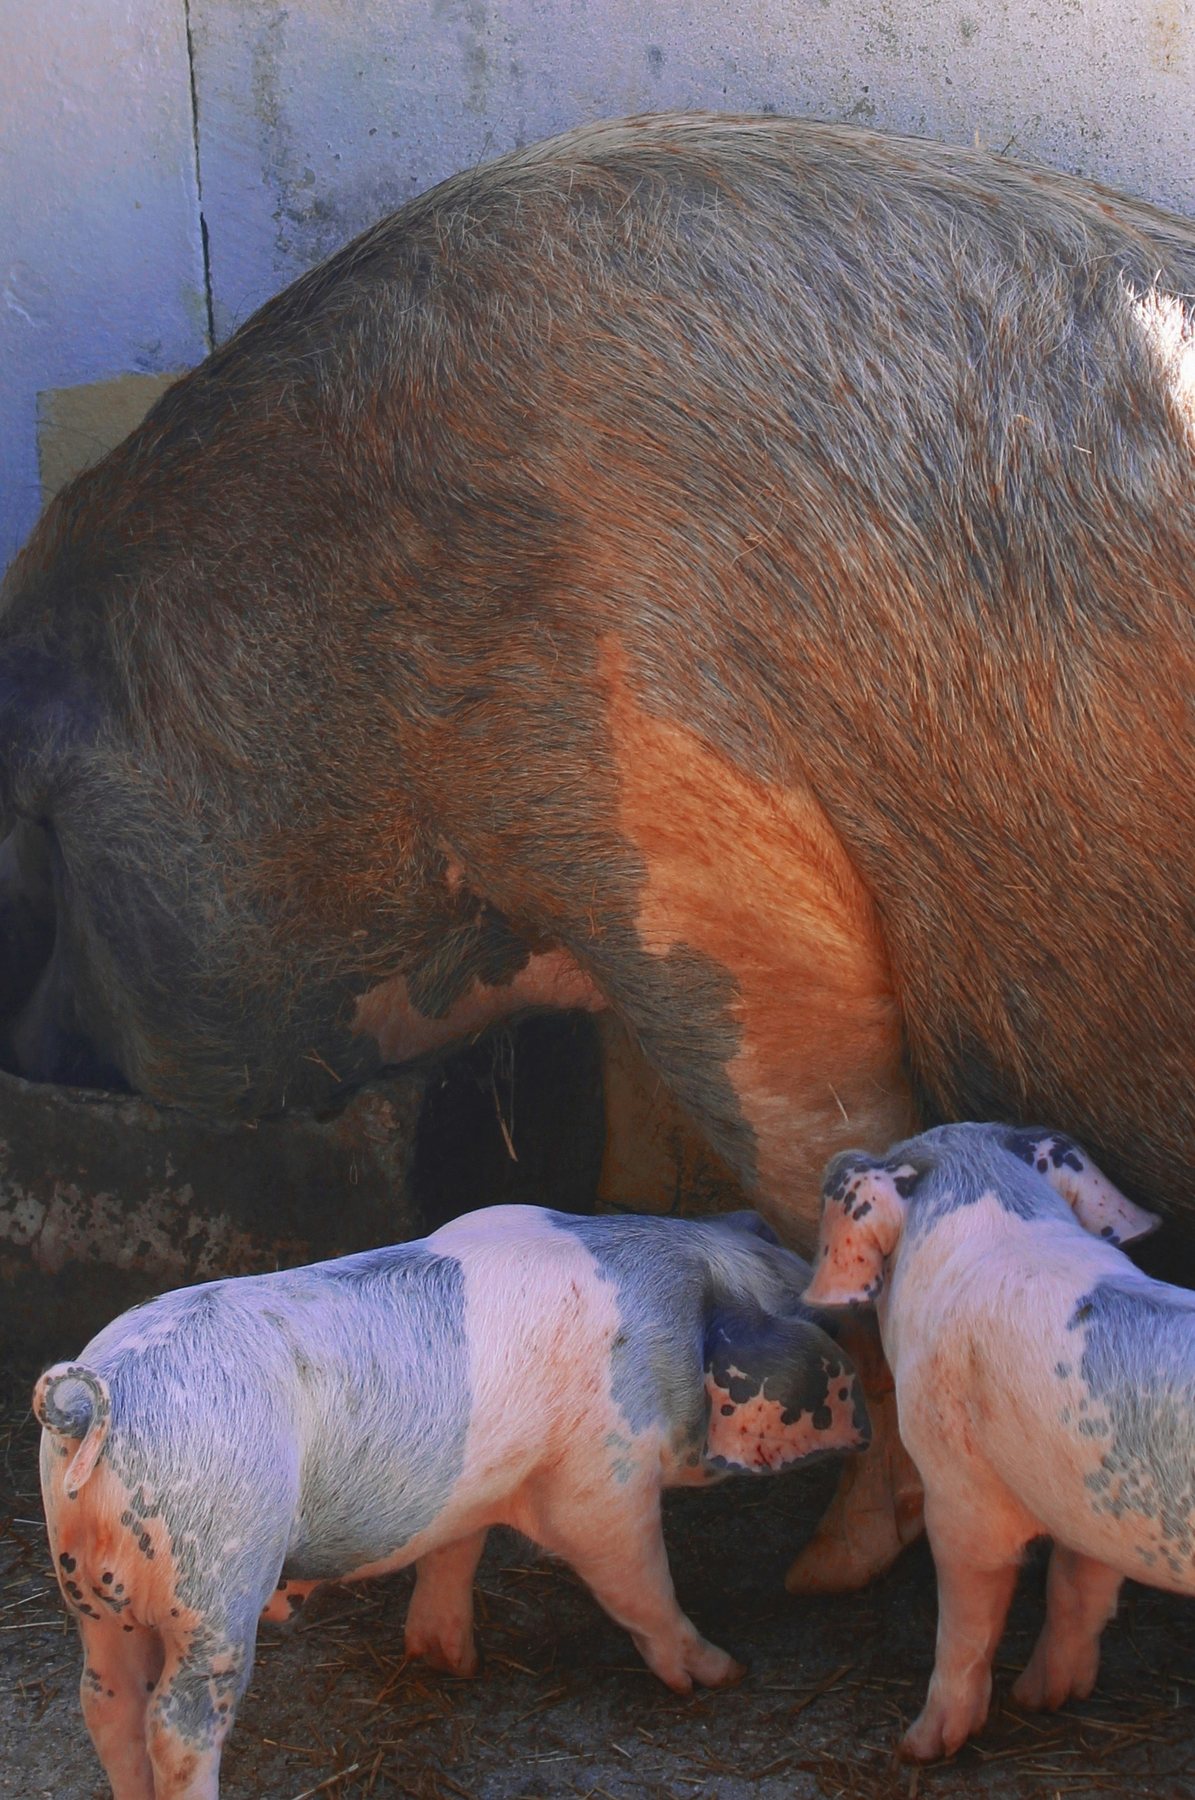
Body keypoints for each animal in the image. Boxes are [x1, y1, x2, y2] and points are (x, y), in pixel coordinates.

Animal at [35, 1203, 868, 1800]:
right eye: (820, 1321)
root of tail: (98, 1400)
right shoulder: (604, 1477)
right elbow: (638, 1586)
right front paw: (720, 1674)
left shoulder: (469, 1493)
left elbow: (452, 1554)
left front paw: (451, 1663)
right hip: (216, 1578)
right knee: (176, 1724)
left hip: (93, 1593)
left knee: (105, 1702)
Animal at [802, 1121, 1185, 1761]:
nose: (912, 1748)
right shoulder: (1091, 1493)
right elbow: (1076, 1589)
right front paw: (1042, 1699)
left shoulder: (958, 1490)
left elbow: (966, 1622)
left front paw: (920, 1747)